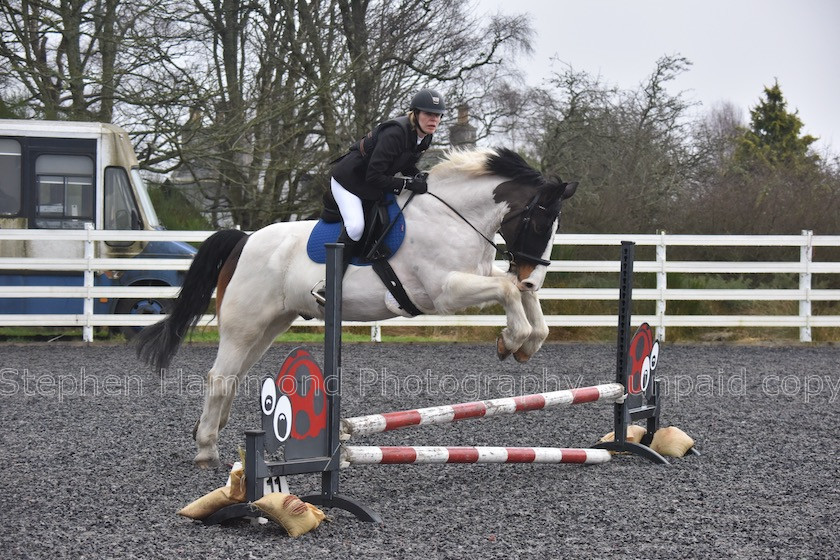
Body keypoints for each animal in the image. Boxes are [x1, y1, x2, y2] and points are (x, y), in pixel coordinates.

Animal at [136, 147, 576, 466]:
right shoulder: (445, 291)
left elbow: (517, 293)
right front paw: (512, 340)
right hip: (245, 323)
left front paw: (528, 342)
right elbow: (507, 289)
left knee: (234, 374)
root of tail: (244, 240)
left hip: (270, 325)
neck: (454, 217)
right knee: (220, 376)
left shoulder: (480, 275)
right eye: (541, 222)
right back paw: (206, 449)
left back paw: (209, 432)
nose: (533, 275)